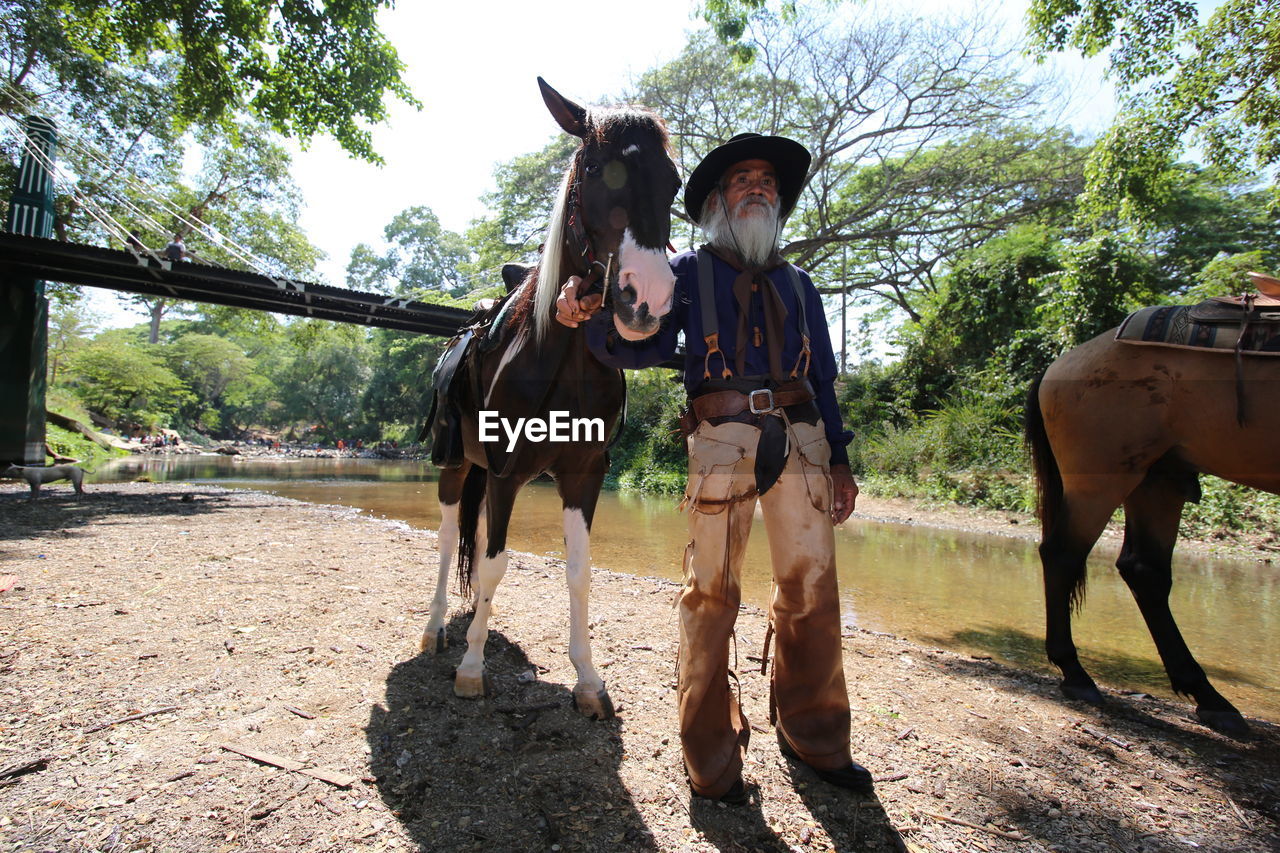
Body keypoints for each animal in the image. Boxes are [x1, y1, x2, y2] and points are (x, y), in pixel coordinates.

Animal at [419, 79, 680, 717]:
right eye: (597, 170)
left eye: (674, 181)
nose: (648, 298)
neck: (564, 360)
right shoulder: (507, 473)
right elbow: (493, 565)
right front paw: (471, 669)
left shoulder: (583, 475)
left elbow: (578, 571)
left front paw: (588, 679)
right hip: (457, 466)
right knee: (447, 540)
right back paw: (437, 629)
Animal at [1024, 327, 1280, 732]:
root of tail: (1059, 364)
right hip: (1107, 475)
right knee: (1064, 553)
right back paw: (1077, 674)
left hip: (1160, 475)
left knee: (1144, 570)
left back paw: (1209, 697)